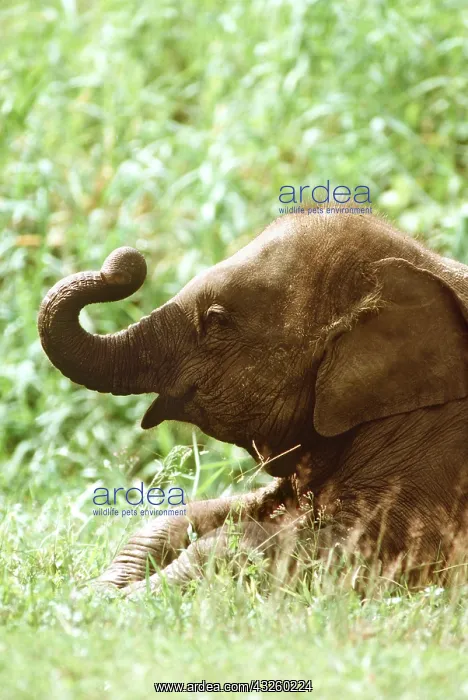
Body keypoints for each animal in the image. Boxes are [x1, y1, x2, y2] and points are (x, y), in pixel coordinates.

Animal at [38, 211, 468, 591]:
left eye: (216, 318)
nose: (122, 264)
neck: (420, 266)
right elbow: (189, 518)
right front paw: (97, 593)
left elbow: (351, 551)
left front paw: (123, 601)